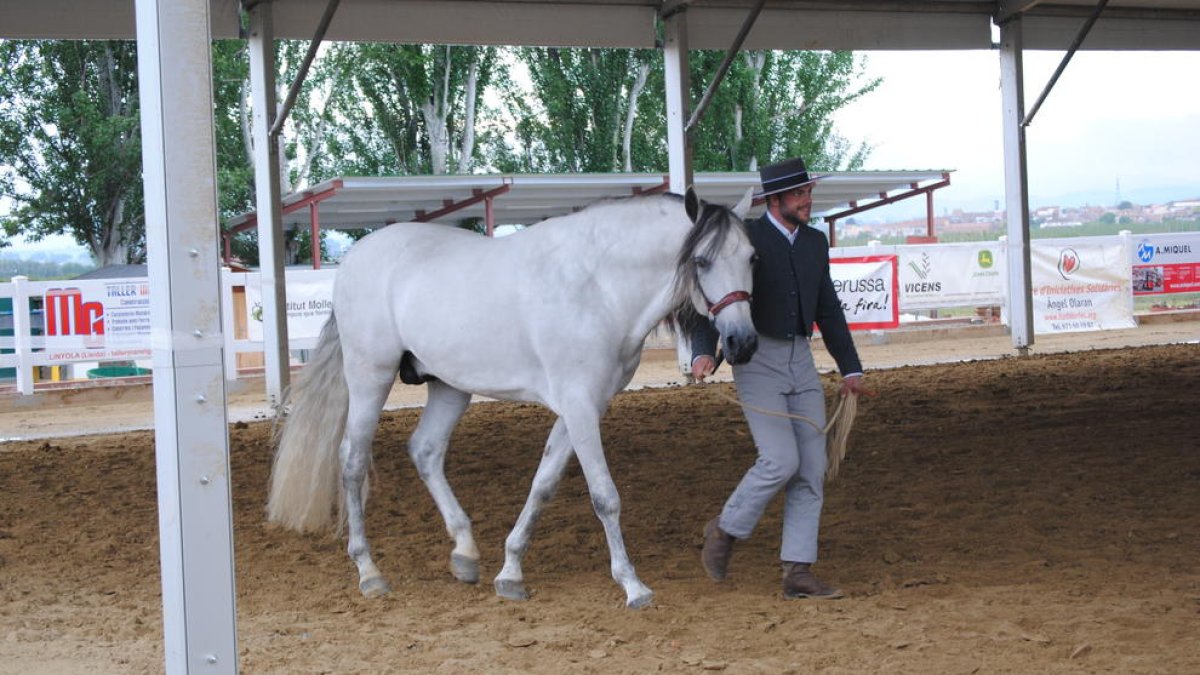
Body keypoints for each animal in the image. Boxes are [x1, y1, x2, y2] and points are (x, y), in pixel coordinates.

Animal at [270, 186, 758, 607]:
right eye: (702, 260)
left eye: (752, 256)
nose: (743, 342)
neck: (598, 287)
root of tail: (356, 257)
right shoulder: (579, 405)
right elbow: (604, 496)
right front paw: (632, 584)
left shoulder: (585, 406)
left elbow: (543, 485)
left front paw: (510, 571)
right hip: (370, 375)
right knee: (352, 461)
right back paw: (369, 571)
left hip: (449, 386)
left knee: (425, 451)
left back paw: (465, 553)